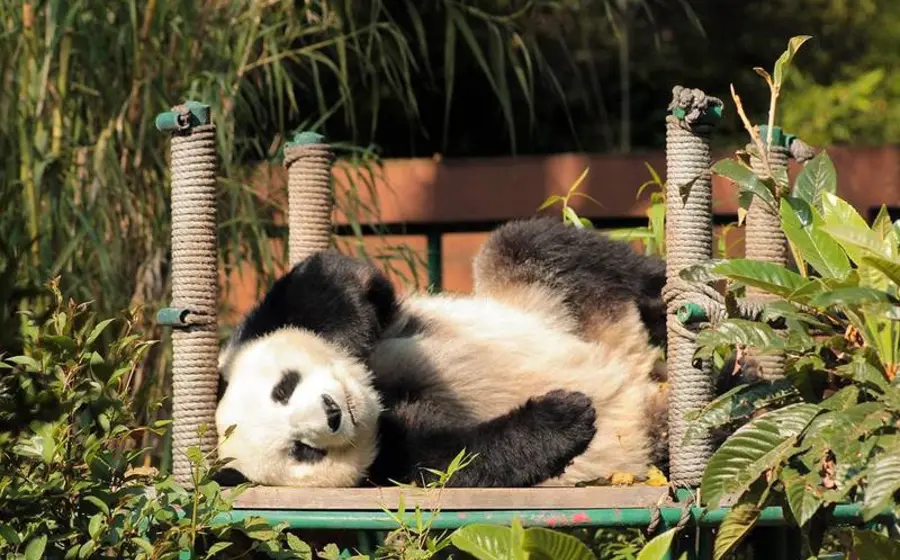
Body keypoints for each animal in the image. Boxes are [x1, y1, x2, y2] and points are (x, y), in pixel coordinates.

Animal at [214, 216, 670, 488]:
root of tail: (639, 366)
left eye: (284, 388)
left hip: (550, 301)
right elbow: (459, 459)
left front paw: (355, 344)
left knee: (534, 245)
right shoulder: (387, 462)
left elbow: (336, 277)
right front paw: (564, 416)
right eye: (302, 450)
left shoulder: (261, 324)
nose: (332, 413)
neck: (378, 399)